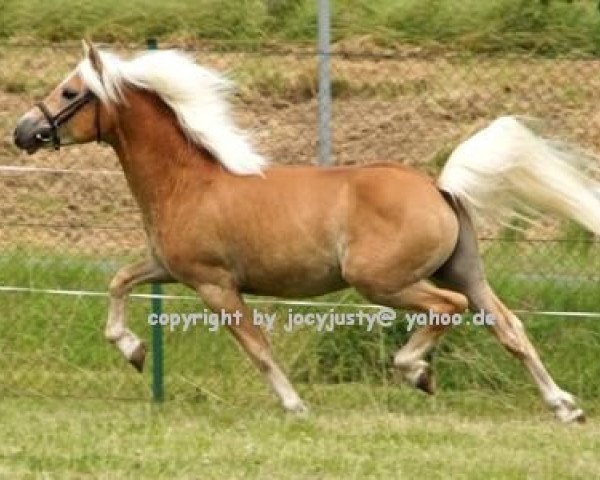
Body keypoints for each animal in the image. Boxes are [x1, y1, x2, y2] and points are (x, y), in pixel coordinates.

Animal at [14, 42, 592, 424]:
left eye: (69, 91)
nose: (22, 131)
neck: (188, 181)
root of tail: (439, 186)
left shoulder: (213, 283)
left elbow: (256, 346)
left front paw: (295, 405)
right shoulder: (168, 268)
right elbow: (118, 282)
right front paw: (132, 351)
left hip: (384, 282)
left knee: (448, 308)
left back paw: (418, 373)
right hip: (465, 272)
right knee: (510, 329)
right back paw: (565, 408)